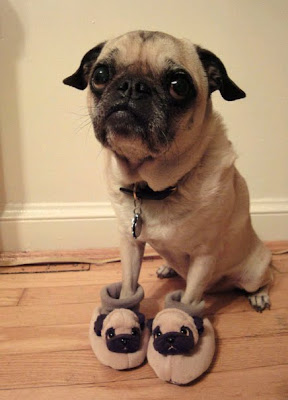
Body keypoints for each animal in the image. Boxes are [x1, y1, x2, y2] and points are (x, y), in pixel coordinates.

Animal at [63, 30, 272, 312]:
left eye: (179, 85)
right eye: (100, 75)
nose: (133, 85)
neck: (151, 186)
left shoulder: (204, 256)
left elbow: (187, 301)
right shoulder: (130, 244)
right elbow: (128, 286)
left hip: (253, 271)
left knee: (263, 280)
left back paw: (259, 295)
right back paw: (168, 268)